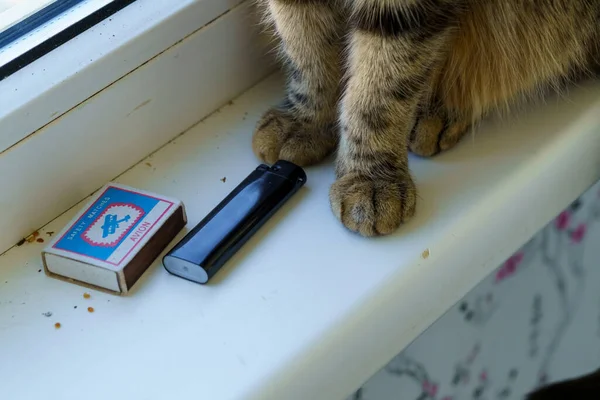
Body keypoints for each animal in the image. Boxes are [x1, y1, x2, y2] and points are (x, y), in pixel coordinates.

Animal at [251, 0, 596, 236]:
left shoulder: (404, 11)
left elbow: (380, 87)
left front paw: (371, 176)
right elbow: (306, 49)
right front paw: (306, 121)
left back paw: (440, 111)